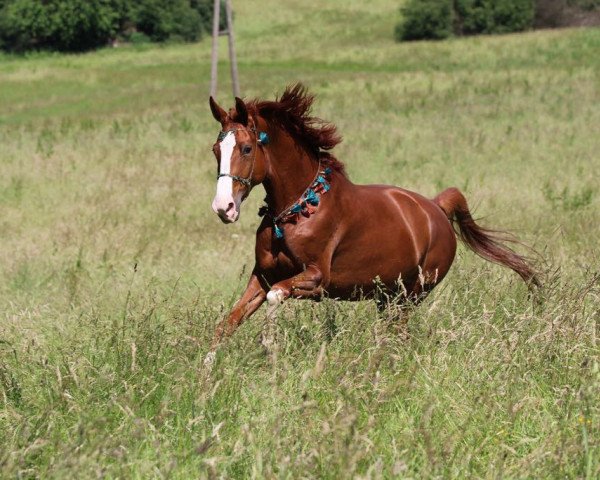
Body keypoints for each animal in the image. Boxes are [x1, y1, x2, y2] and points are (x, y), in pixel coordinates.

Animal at [204, 83, 536, 360]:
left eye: (247, 148)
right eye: (216, 150)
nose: (223, 207)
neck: (298, 210)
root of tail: (437, 209)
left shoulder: (315, 279)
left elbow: (275, 297)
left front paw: (269, 345)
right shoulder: (261, 276)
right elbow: (227, 323)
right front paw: (208, 373)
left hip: (411, 295)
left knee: (399, 333)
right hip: (387, 296)